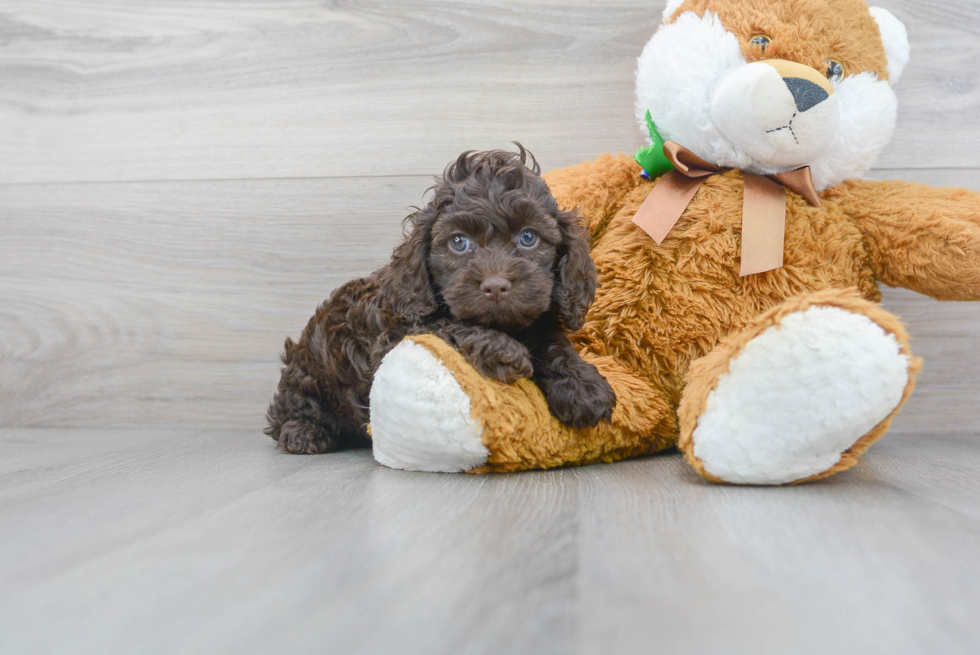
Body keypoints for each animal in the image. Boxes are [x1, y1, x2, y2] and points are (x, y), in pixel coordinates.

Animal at [264, 147, 616, 456]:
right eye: (458, 242)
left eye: (528, 237)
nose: (496, 286)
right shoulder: (394, 335)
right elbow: (445, 324)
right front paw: (502, 350)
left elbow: (554, 345)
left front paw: (582, 386)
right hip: (309, 373)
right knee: (290, 408)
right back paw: (303, 433)